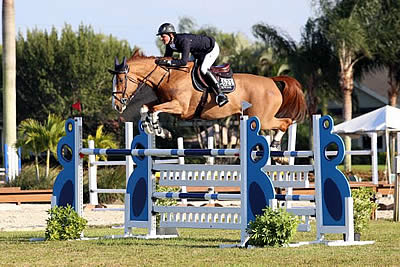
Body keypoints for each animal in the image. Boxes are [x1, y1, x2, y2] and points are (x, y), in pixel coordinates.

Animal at [109, 50, 306, 147]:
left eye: (120, 80)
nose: (116, 106)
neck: (169, 75)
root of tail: (272, 81)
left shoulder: (180, 108)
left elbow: (155, 110)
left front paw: (158, 129)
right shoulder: (166, 103)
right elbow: (146, 108)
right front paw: (158, 130)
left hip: (262, 118)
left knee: (286, 122)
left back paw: (275, 143)